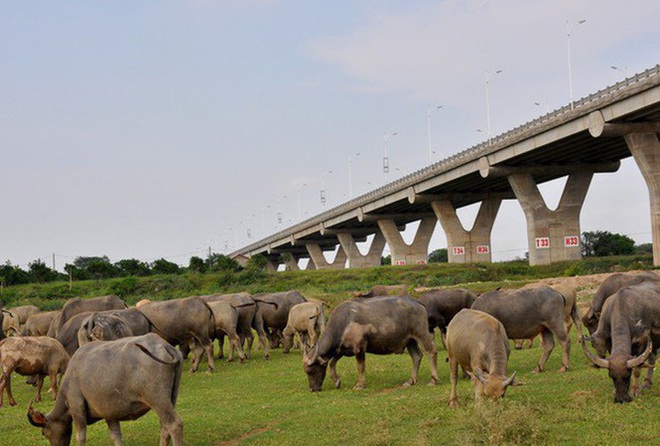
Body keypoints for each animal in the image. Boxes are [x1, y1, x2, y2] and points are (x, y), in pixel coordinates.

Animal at [27, 332, 183, 444]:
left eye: (44, 433)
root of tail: (164, 345)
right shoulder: (109, 413)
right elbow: (115, 435)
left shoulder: (76, 407)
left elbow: (80, 436)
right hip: (171, 397)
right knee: (164, 427)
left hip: (157, 398)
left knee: (174, 425)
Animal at [304, 296, 438, 390]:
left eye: (311, 371)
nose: (312, 389)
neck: (344, 324)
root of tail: (418, 303)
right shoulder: (342, 350)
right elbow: (332, 363)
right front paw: (336, 381)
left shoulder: (359, 348)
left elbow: (360, 366)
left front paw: (360, 385)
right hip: (410, 340)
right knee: (416, 356)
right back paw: (411, 381)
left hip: (422, 334)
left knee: (431, 352)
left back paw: (433, 380)